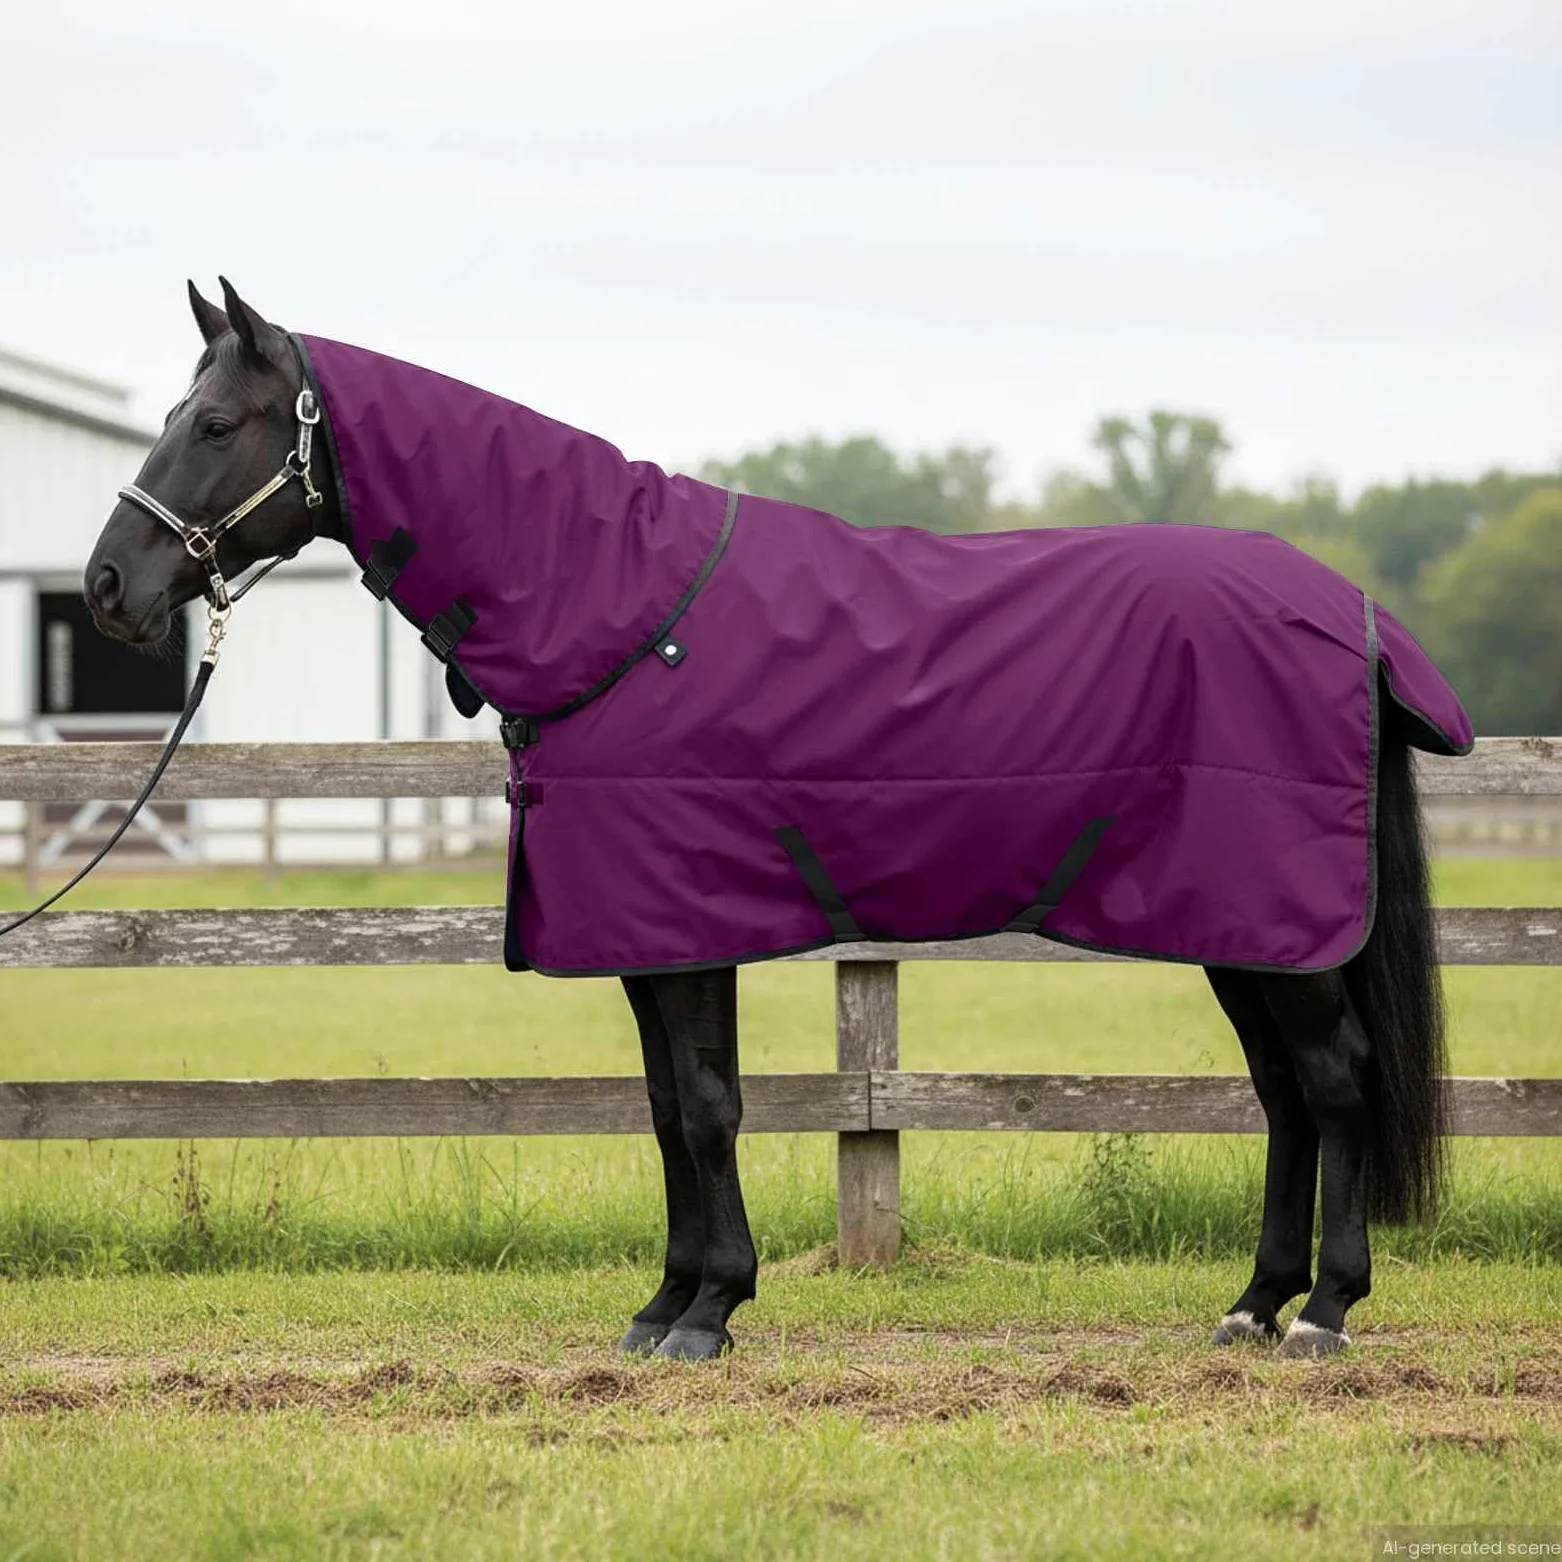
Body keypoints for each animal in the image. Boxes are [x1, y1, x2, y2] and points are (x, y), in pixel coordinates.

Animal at [83, 278, 1470, 1362]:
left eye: (215, 423)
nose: (107, 586)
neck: (618, 608)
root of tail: (1348, 612)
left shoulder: (687, 923)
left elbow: (705, 1105)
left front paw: (708, 1312)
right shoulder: (645, 934)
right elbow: (663, 1107)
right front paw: (663, 1305)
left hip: (1273, 923)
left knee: (1332, 1080)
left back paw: (1323, 1311)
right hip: (1242, 927)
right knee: (1284, 1093)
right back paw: (1251, 1303)